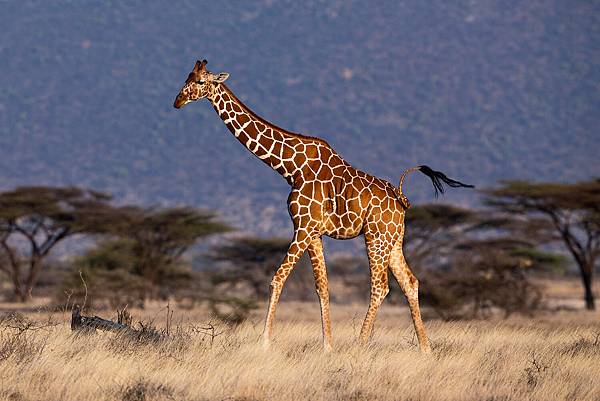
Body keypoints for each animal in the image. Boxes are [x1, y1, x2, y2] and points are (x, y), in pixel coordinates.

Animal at [173, 60, 474, 354]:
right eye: (185, 78)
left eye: (200, 81)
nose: (177, 101)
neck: (290, 167)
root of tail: (401, 200)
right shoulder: (314, 232)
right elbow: (322, 287)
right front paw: (327, 346)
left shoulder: (303, 227)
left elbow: (277, 279)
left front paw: (264, 342)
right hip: (393, 239)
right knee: (410, 282)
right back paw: (425, 349)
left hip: (375, 236)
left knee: (380, 287)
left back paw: (360, 345)